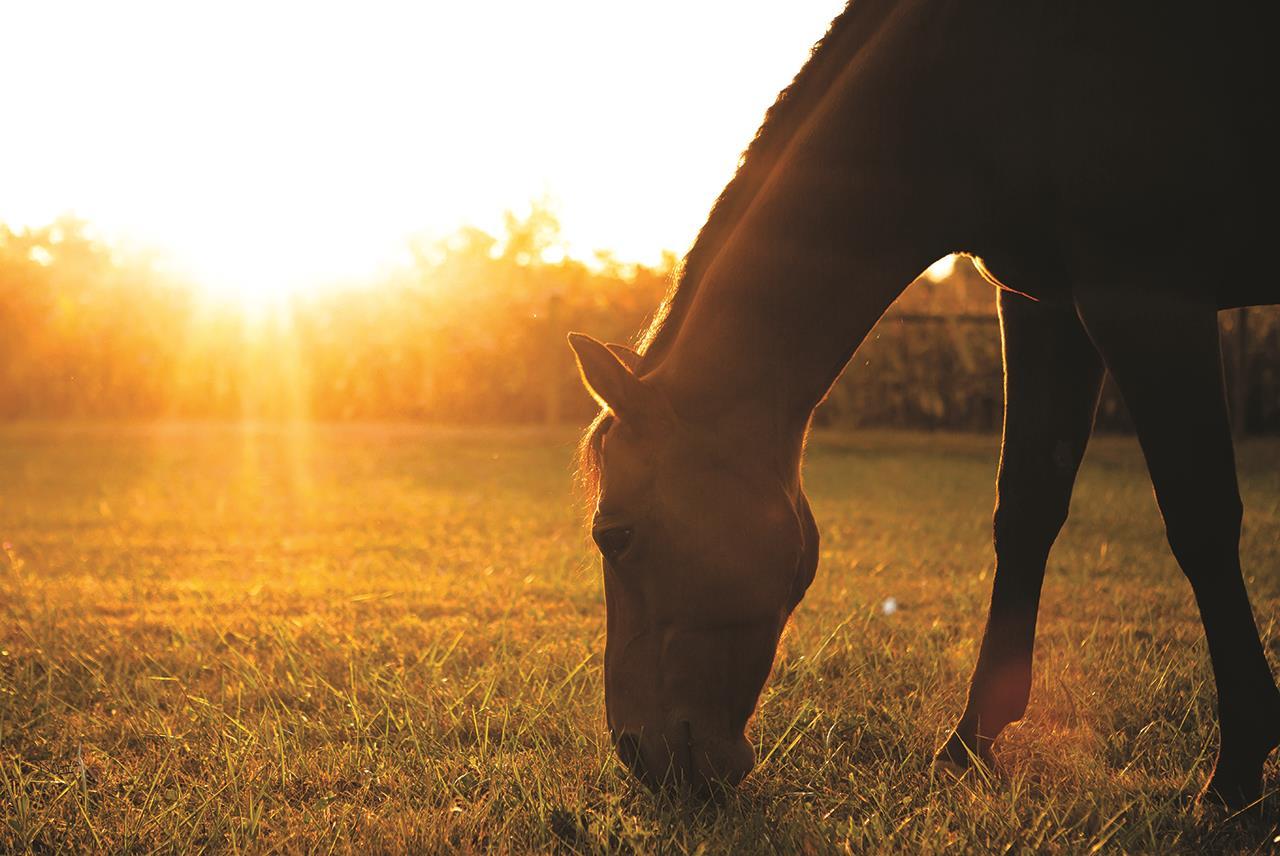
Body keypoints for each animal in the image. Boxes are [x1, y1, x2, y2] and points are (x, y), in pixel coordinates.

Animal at [573, 0, 1280, 808]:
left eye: (613, 536)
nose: (636, 754)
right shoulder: (1047, 304)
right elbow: (1026, 513)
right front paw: (969, 743)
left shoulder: (1146, 297)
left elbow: (1201, 522)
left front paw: (1236, 769)